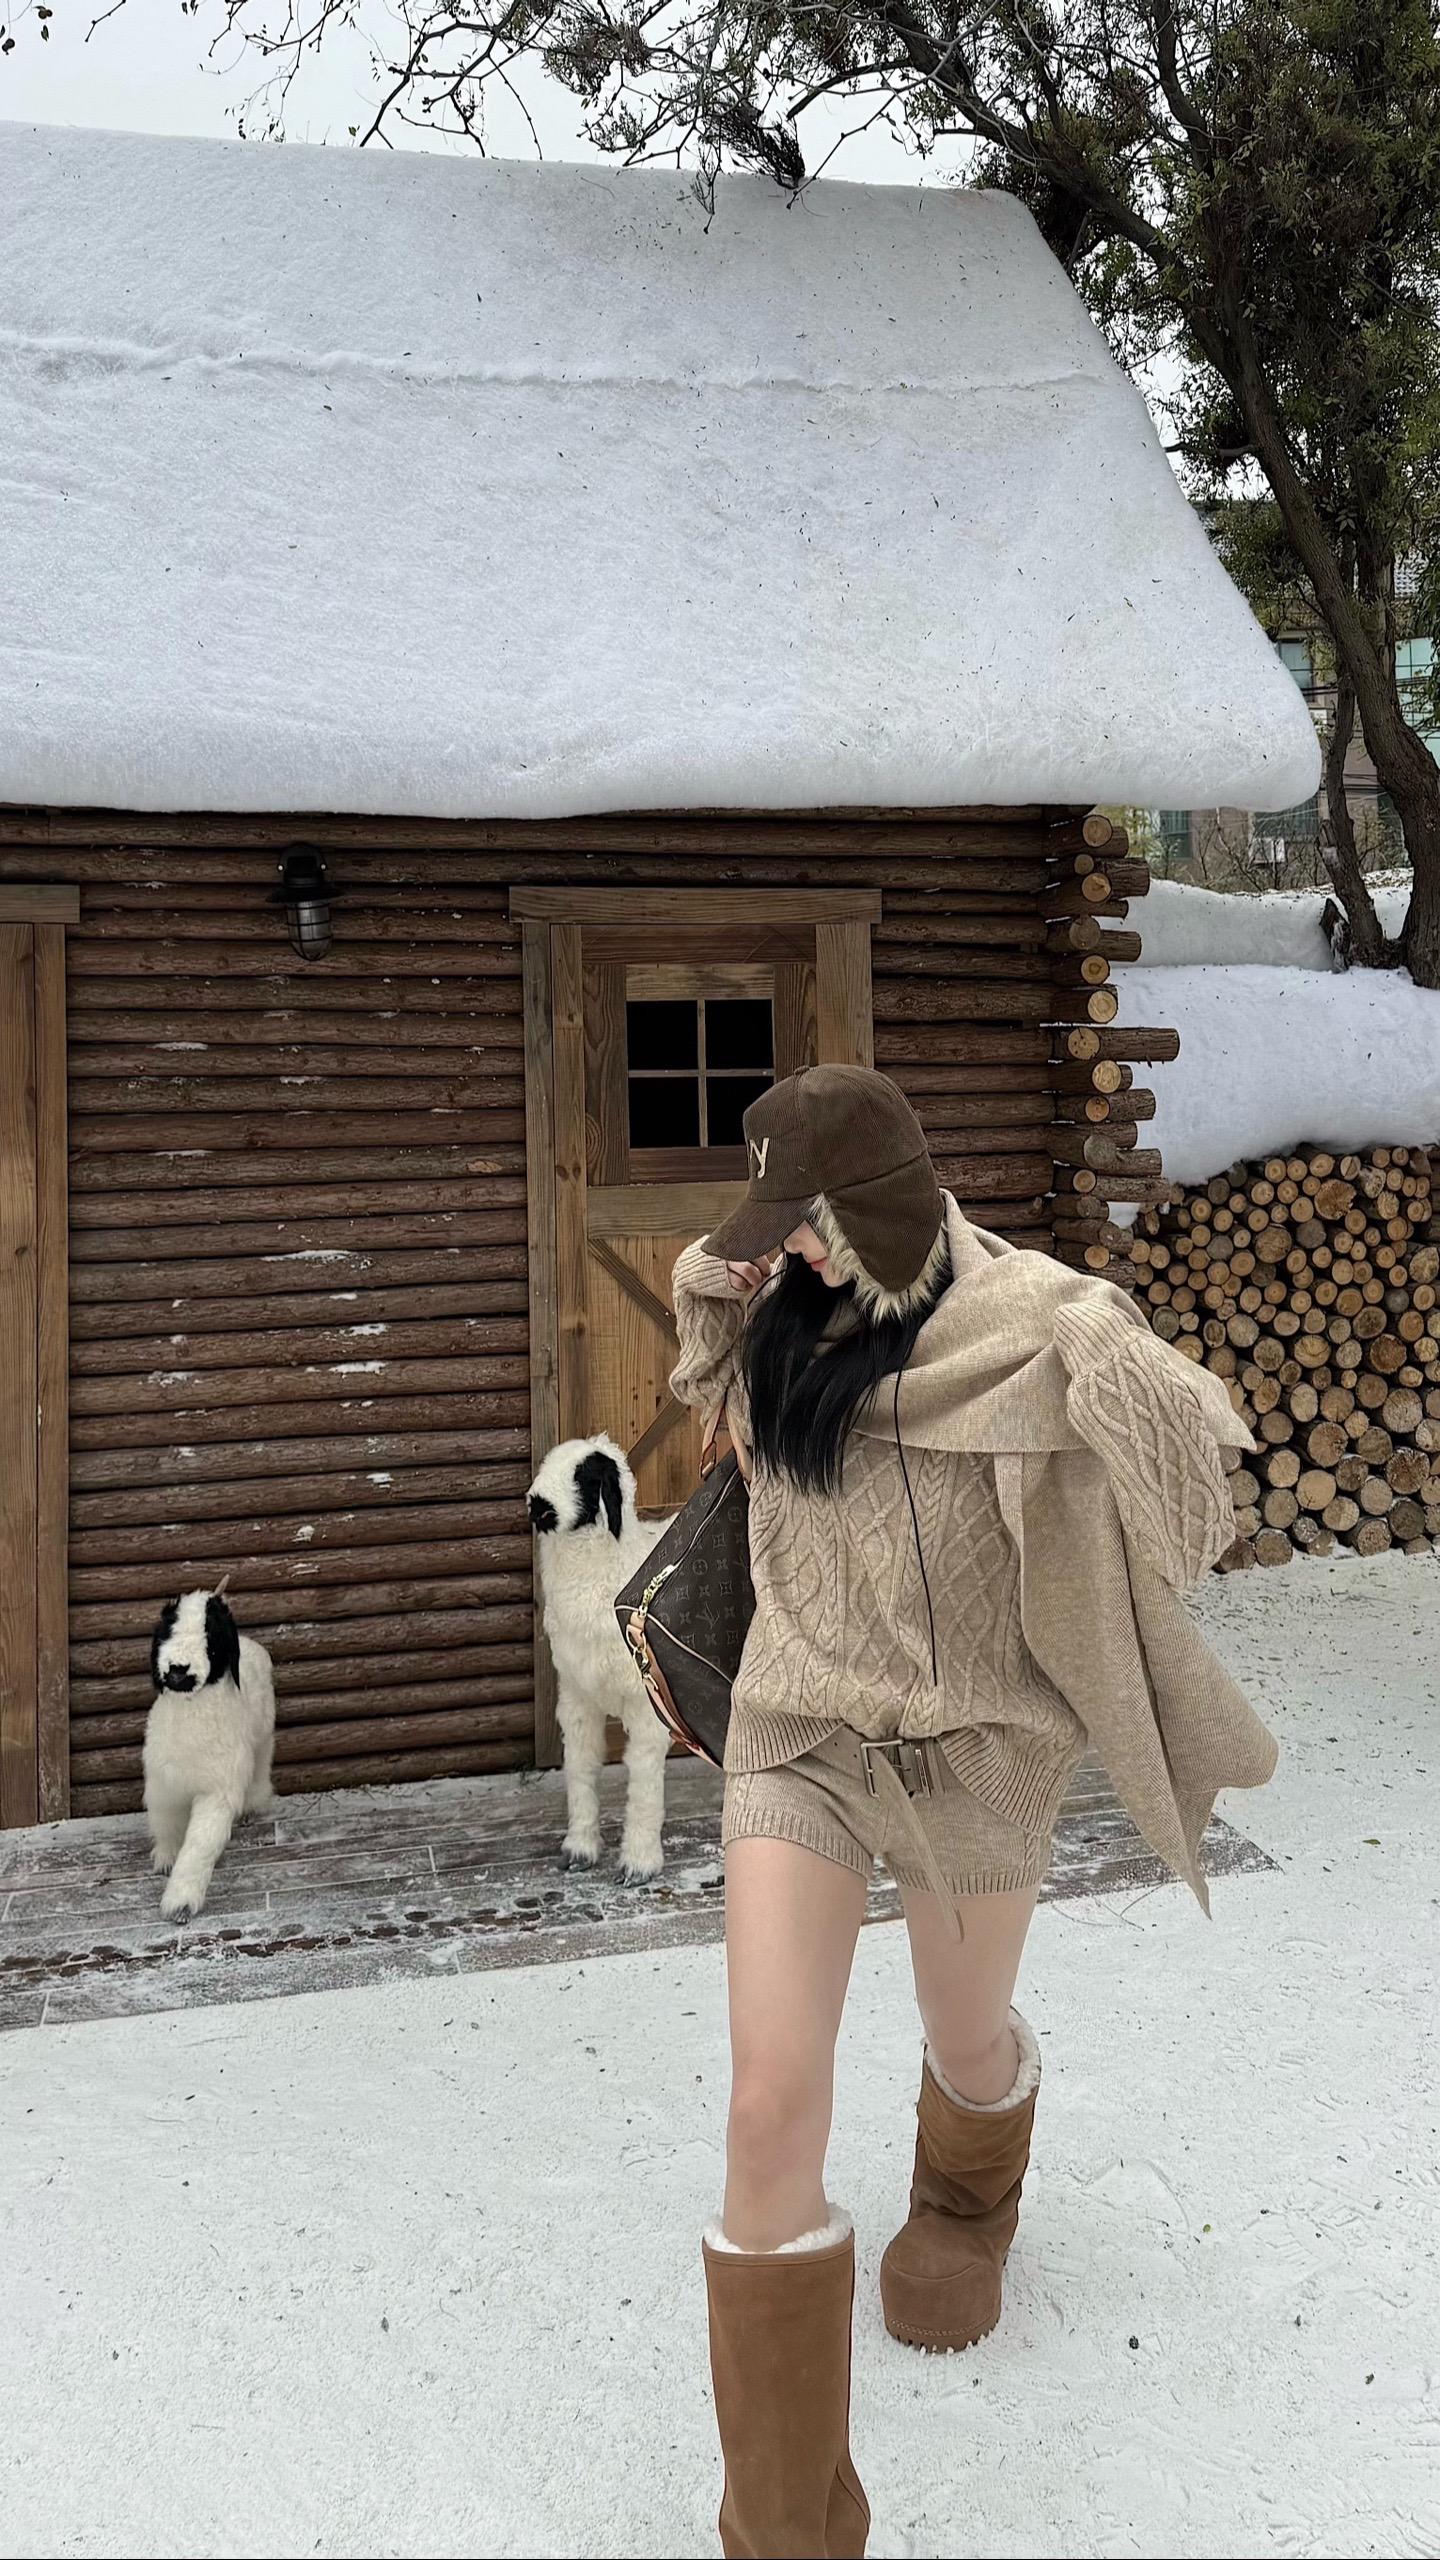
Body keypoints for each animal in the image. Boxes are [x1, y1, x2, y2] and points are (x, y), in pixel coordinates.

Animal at [142, 1585, 276, 1920]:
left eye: (211, 1637)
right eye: (169, 1628)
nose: (178, 1670)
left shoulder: (218, 1791)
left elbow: (200, 1845)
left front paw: (180, 1903)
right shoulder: (164, 1784)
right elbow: (166, 1823)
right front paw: (165, 1858)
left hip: (263, 1740)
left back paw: (250, 1809)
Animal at [528, 1435, 674, 1883]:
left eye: (585, 1475)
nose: (538, 1506)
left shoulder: (647, 1703)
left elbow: (643, 1778)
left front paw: (639, 1863)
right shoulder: (577, 1695)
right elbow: (581, 1767)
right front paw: (579, 1848)